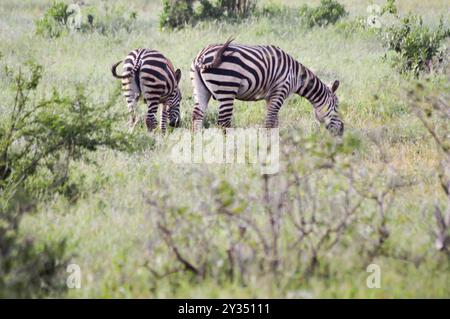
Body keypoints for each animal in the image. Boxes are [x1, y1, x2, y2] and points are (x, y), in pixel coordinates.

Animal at [191, 38, 344, 136]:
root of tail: (202, 56)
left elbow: (275, 121)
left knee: (197, 117)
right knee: (224, 122)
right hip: (226, 89)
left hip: (200, 89)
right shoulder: (280, 90)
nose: (342, 131)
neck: (295, 76)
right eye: (337, 106)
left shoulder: (269, 97)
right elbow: (270, 121)